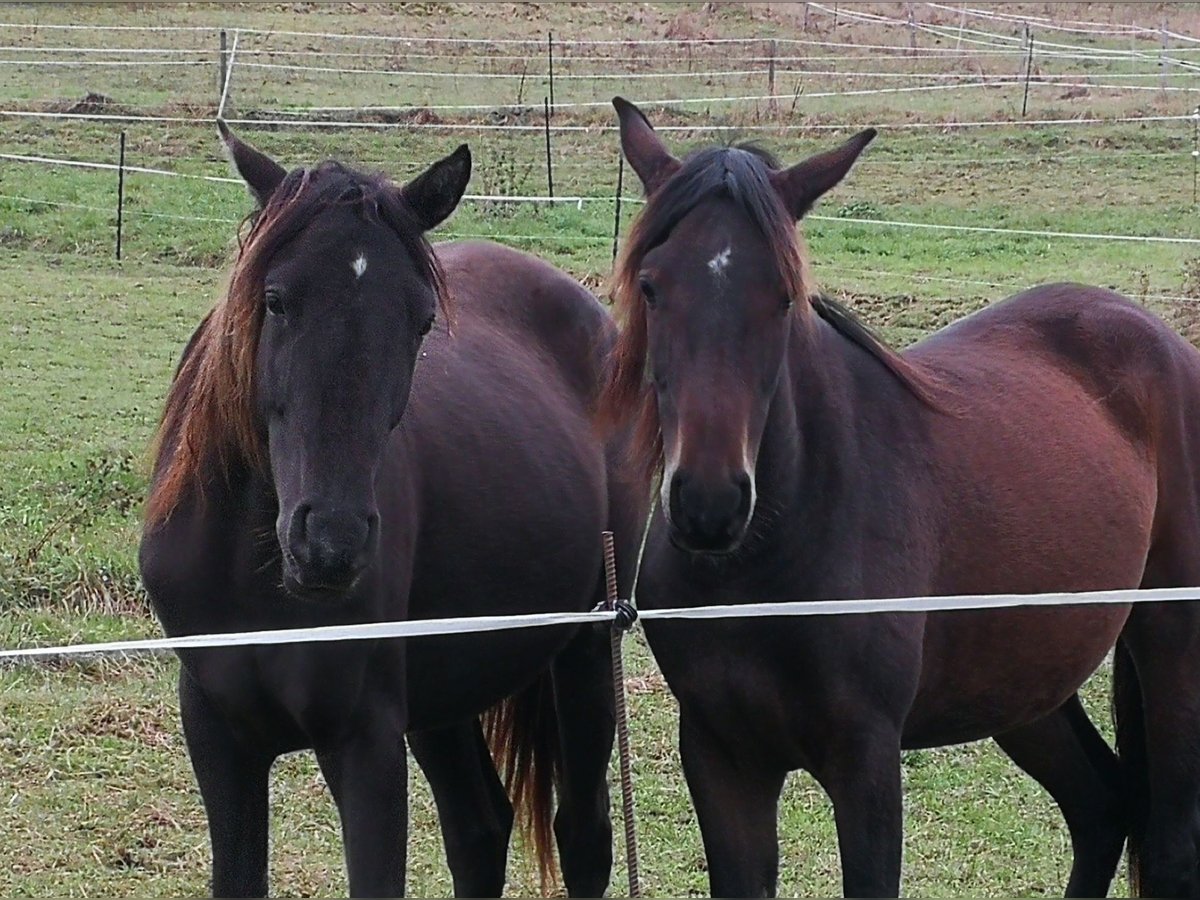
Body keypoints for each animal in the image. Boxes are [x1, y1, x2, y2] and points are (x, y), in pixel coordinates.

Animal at [138, 123, 648, 897]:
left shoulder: (365, 744)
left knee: (583, 836)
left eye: (423, 319)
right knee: (479, 827)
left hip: (586, 652)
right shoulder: (219, 735)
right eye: (276, 299)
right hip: (445, 693)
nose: (331, 544)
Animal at [600, 95, 1200, 897]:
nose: (709, 504)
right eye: (652, 285)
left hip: (1170, 644)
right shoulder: (722, 757)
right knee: (1101, 806)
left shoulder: (866, 762)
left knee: (1167, 841)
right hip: (1024, 682)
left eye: (783, 296)